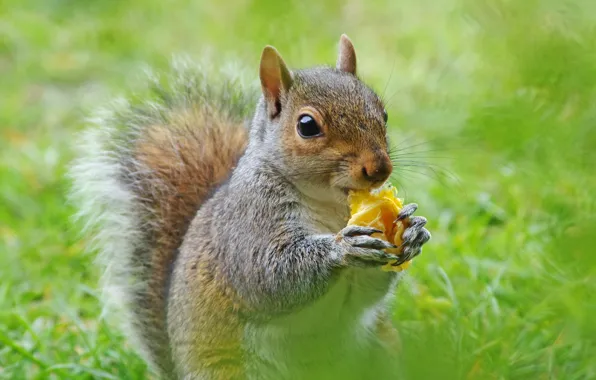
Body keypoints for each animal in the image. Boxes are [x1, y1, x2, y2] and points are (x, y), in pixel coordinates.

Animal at [70, 34, 430, 378]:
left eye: (383, 113)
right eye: (307, 126)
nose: (379, 169)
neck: (330, 203)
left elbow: (365, 293)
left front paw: (412, 232)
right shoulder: (248, 221)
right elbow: (267, 274)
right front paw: (342, 247)